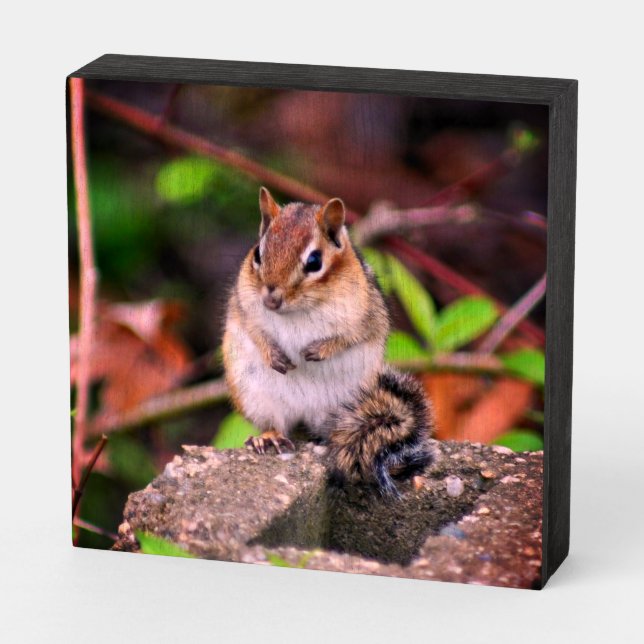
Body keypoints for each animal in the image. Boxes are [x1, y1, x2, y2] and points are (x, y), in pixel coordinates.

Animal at [222, 187, 434, 497]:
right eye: (258, 253)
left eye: (314, 262)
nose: (271, 299)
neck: (299, 310)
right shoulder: (244, 305)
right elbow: (255, 331)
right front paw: (273, 354)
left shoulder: (365, 315)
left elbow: (352, 335)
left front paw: (319, 350)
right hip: (256, 395)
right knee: (276, 422)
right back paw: (269, 438)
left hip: (348, 402)